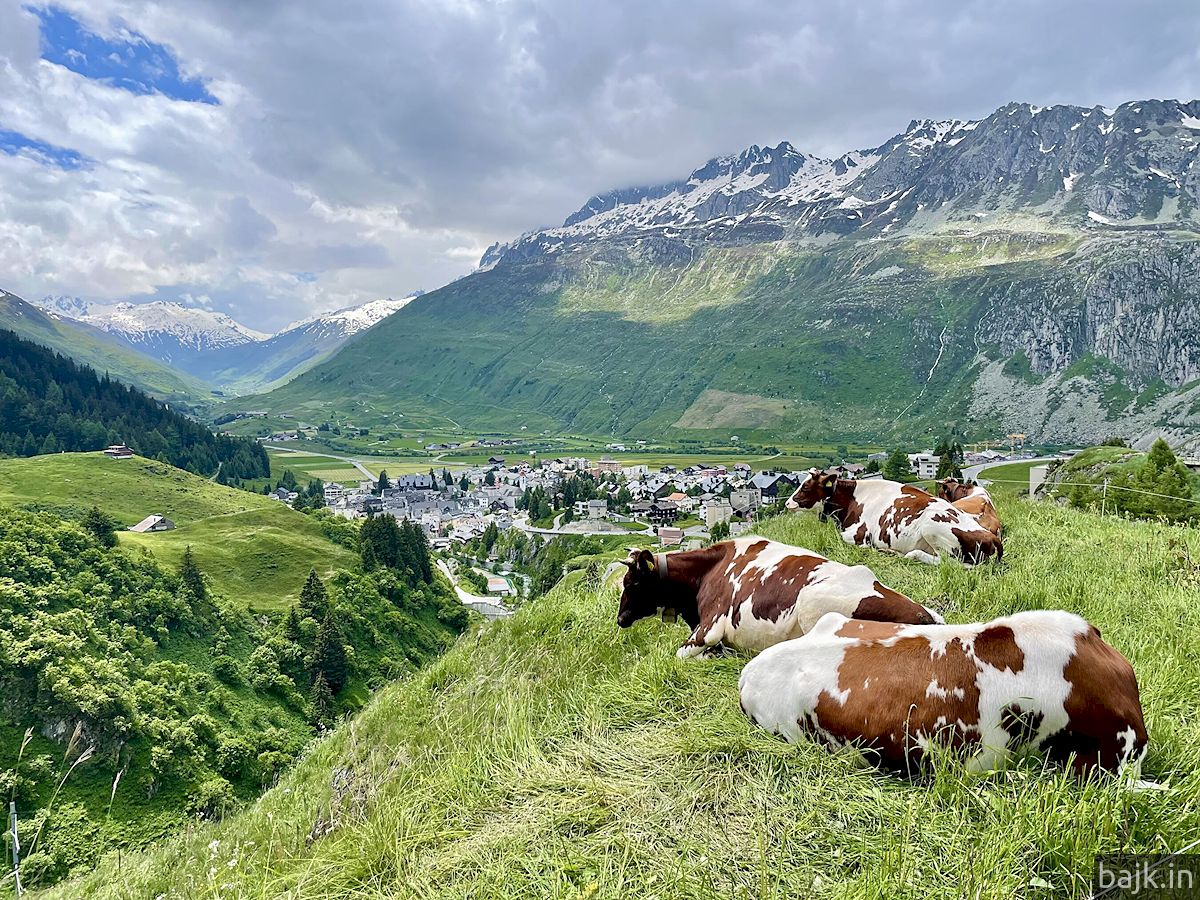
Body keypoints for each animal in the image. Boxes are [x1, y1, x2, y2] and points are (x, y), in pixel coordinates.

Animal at [619, 535, 936, 662]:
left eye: (632, 583)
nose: (620, 619)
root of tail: (923, 616)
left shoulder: (709, 628)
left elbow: (681, 654)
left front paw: (714, 655)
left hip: (812, 606)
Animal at [787, 468, 1003, 566]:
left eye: (805, 487)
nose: (787, 502)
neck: (852, 500)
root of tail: (991, 536)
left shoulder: (858, 535)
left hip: (932, 527)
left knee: (948, 562)